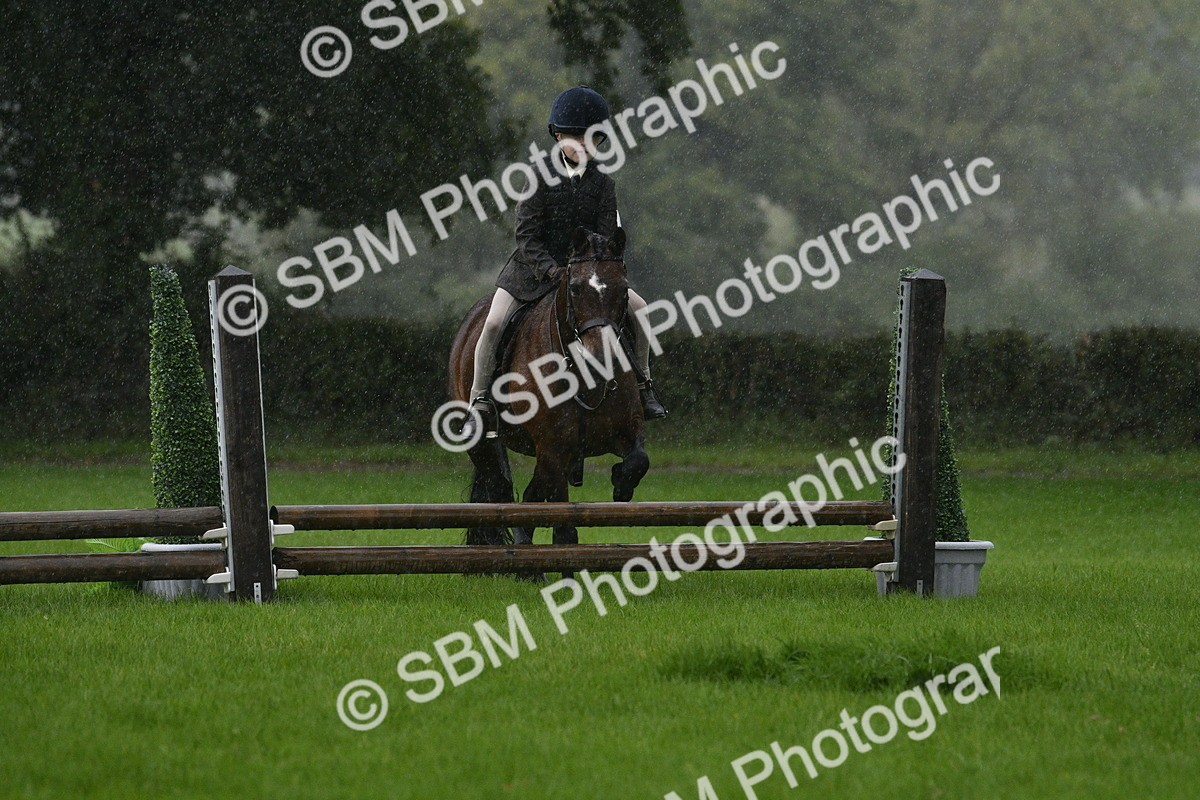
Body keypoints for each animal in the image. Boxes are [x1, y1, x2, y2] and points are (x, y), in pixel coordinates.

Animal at [447, 227, 650, 553]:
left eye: (623, 289)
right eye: (575, 289)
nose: (602, 356)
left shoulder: (625, 430)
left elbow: (638, 461)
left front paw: (621, 484)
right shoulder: (553, 448)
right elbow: (550, 512)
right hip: (483, 443)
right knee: (500, 487)